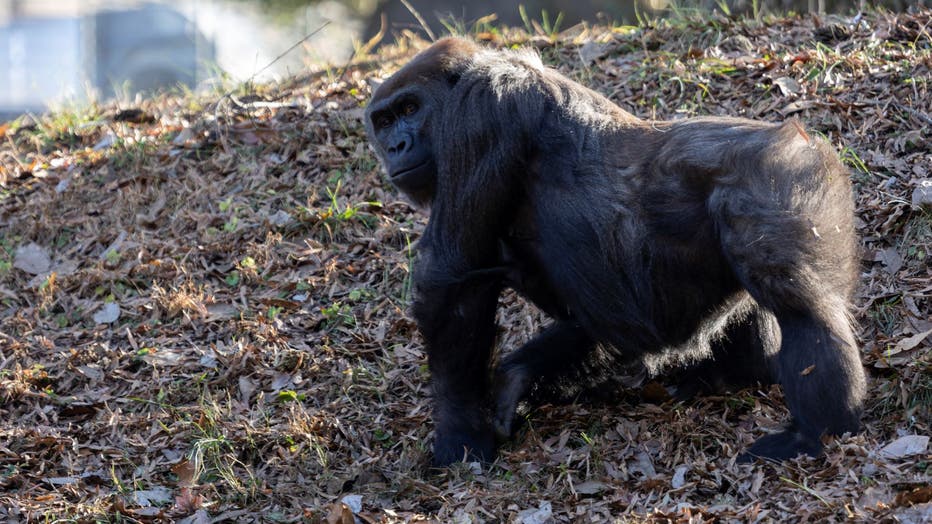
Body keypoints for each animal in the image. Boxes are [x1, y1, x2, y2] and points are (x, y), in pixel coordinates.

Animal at [364, 40, 868, 466]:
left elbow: (453, 275)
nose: (396, 145)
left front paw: (459, 431)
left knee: (796, 300)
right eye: (383, 121)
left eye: (410, 108)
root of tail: (803, 138)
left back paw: (818, 430)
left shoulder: (481, 107)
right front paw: (522, 374)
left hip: (782, 181)